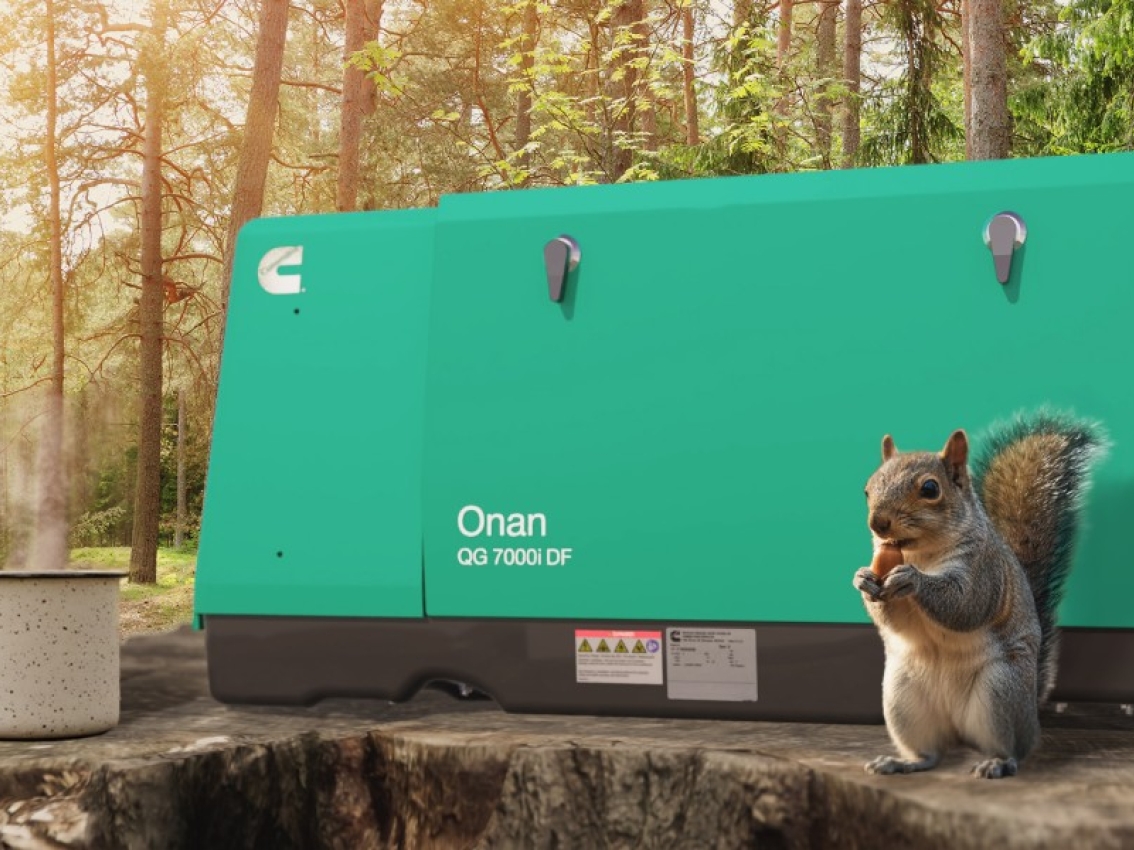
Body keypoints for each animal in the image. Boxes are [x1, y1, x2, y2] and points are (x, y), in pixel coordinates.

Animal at [852, 411, 1105, 779]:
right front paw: (864, 579)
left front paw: (912, 579)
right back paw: (904, 761)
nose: (878, 523)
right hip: (903, 698)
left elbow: (965, 604)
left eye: (930, 489)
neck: (921, 554)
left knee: (1013, 748)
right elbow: (894, 620)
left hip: (1000, 692)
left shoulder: (984, 573)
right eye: (867, 489)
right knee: (930, 752)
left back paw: (998, 763)